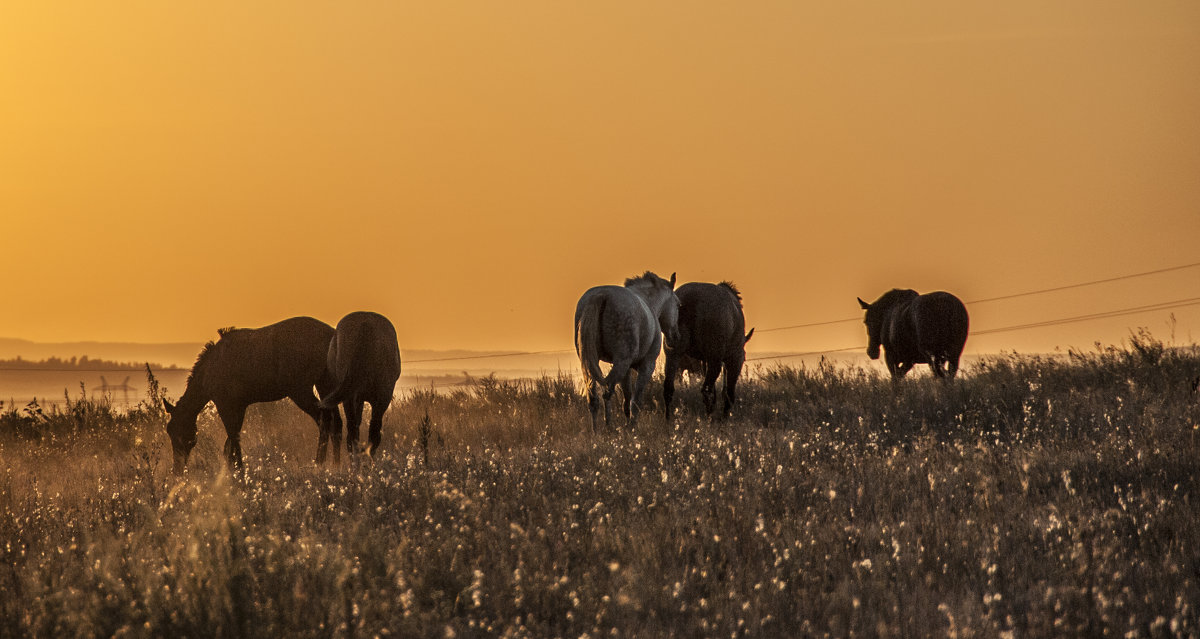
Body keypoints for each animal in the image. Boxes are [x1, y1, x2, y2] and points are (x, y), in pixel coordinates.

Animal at [159, 314, 338, 470]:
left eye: (179, 433)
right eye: (169, 431)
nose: (177, 468)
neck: (209, 372)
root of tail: (332, 334)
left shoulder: (226, 404)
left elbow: (233, 438)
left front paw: (240, 472)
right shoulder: (239, 406)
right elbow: (230, 443)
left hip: (301, 391)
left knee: (324, 419)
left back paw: (319, 463)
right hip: (324, 383)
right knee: (336, 421)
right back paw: (337, 463)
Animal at [573, 272, 681, 432]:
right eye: (679, 305)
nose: (676, 337)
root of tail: (601, 295)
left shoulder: (627, 370)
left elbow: (627, 399)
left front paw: (628, 425)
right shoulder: (647, 366)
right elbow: (636, 401)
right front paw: (632, 427)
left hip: (591, 364)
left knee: (593, 398)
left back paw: (596, 431)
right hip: (621, 362)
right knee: (607, 392)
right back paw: (609, 427)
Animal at [662, 282, 753, 417]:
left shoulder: (706, 361)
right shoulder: (734, 359)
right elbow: (728, 394)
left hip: (673, 354)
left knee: (668, 389)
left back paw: (668, 419)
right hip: (715, 358)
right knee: (707, 391)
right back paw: (710, 418)